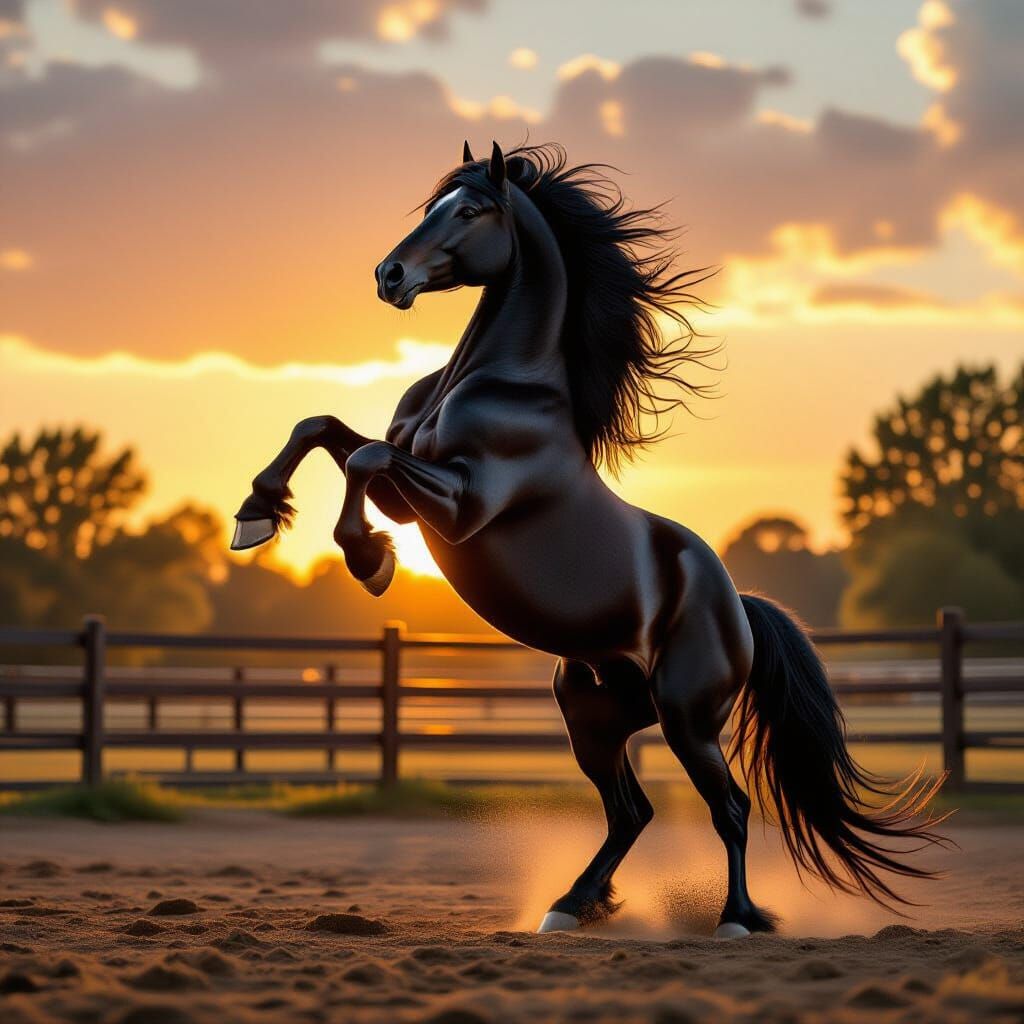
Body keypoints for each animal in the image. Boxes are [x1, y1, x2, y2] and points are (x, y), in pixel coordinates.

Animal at [231, 141, 946, 937]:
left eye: (471, 210)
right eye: (432, 207)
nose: (389, 276)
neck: (497, 384)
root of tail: (740, 608)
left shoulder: (461, 507)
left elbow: (365, 458)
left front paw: (369, 559)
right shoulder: (410, 491)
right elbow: (323, 428)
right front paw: (256, 514)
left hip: (689, 720)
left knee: (728, 808)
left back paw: (732, 917)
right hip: (593, 715)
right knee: (631, 811)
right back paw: (571, 906)